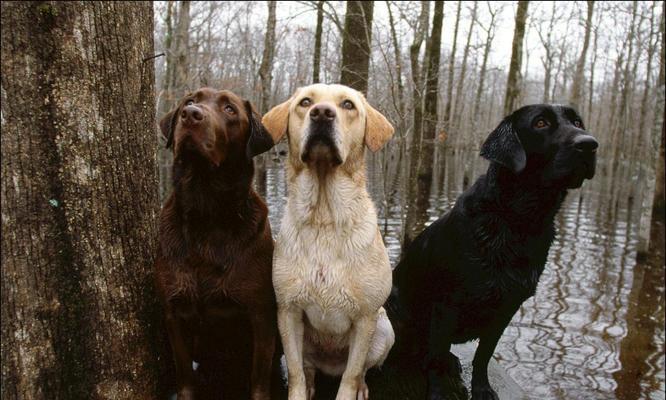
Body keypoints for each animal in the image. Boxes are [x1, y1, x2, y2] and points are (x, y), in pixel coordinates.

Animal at [260, 84, 394, 400]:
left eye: (348, 105)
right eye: (305, 102)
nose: (321, 113)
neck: (325, 217)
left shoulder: (366, 318)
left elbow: (351, 375)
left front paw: (352, 389)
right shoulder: (288, 311)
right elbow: (295, 372)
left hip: (385, 330)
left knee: (360, 370)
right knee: (307, 368)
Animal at [386, 104, 592, 400]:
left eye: (577, 122)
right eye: (540, 123)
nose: (590, 144)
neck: (517, 222)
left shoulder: (507, 307)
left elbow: (484, 354)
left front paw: (482, 388)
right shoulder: (447, 304)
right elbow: (435, 359)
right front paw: (438, 392)